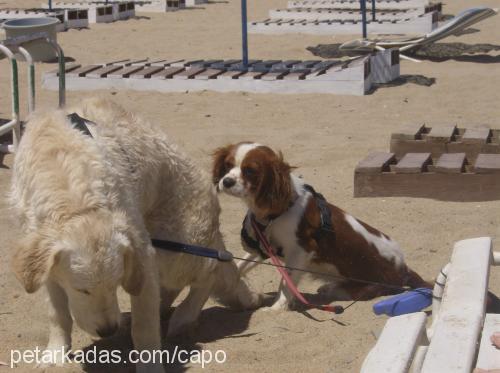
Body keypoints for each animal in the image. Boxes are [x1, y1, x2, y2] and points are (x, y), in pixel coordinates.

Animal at [10, 98, 262, 370]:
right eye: (81, 290)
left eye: (114, 285)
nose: (108, 331)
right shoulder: (44, 262)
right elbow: (57, 314)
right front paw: (55, 354)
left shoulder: (142, 253)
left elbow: (144, 326)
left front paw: (149, 364)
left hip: (176, 249)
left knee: (209, 272)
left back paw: (184, 316)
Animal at [212, 142, 430, 310]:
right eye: (228, 165)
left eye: (250, 171)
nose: (226, 181)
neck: (279, 209)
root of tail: (403, 267)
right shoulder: (264, 247)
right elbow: (239, 266)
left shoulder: (301, 249)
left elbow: (286, 283)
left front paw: (277, 307)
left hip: (373, 284)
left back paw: (332, 289)